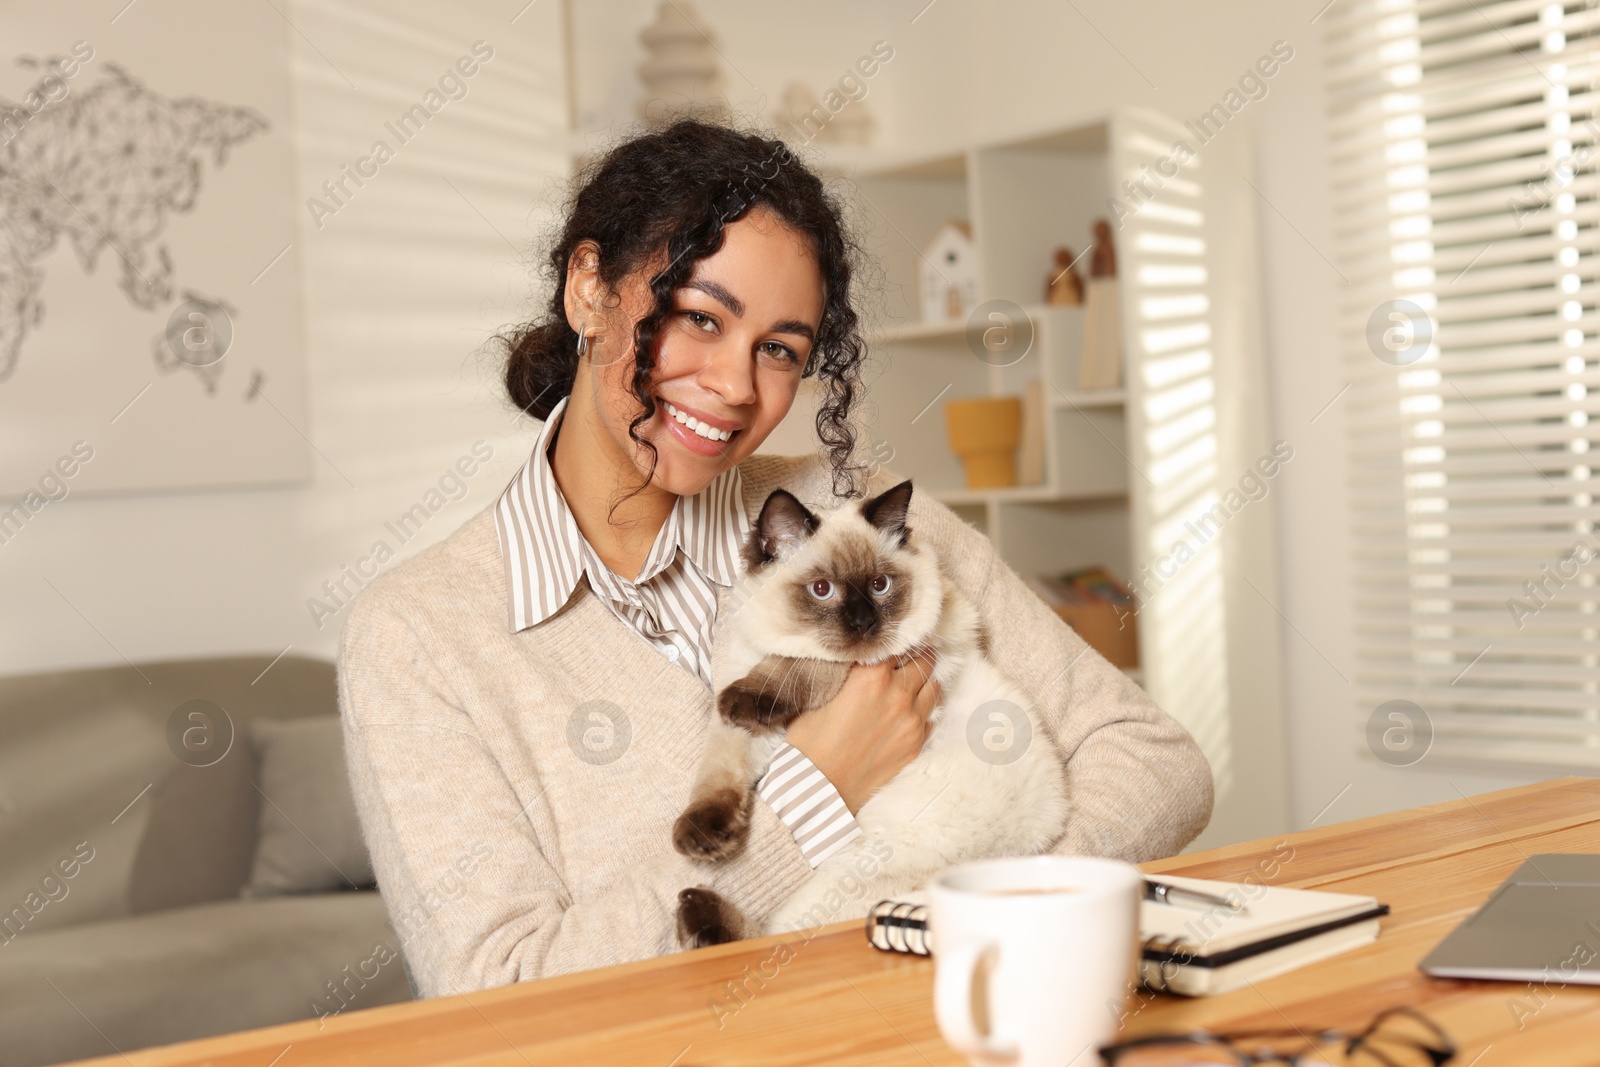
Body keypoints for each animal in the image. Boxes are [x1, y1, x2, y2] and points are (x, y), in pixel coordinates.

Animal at [668, 479, 1068, 947]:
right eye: (822, 590)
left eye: (880, 585)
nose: (863, 623)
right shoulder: (746, 730)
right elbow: (718, 773)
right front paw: (702, 838)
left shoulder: (899, 650)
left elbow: (803, 666)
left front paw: (758, 689)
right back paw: (696, 914)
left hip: (852, 875)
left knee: (780, 935)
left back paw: (701, 915)